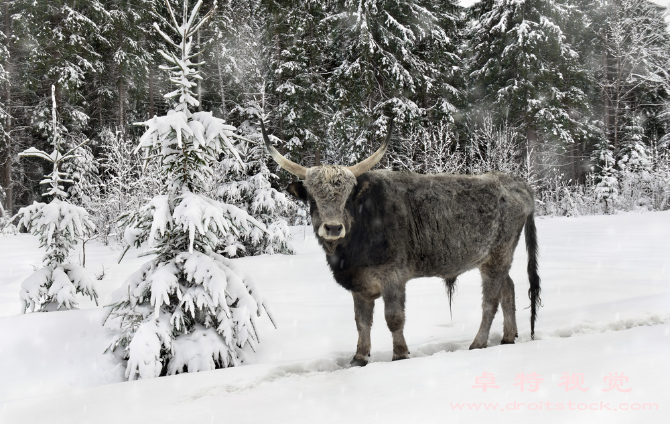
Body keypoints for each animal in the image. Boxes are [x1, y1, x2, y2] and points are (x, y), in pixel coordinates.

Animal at [260, 119, 544, 364]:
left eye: (348, 197)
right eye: (312, 198)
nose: (332, 227)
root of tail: (516, 182)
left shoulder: (393, 277)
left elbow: (393, 318)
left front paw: (399, 354)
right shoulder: (359, 284)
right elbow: (362, 322)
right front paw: (359, 357)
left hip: (498, 256)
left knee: (491, 300)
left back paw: (478, 343)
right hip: (493, 260)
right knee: (508, 290)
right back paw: (508, 336)